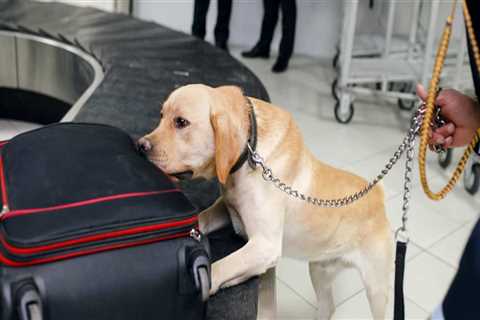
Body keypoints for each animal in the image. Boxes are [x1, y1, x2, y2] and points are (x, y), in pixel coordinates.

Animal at [139, 84, 394, 318]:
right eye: (161, 116)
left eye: (181, 122)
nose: (140, 146)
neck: (250, 151)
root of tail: (379, 195)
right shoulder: (226, 210)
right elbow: (202, 220)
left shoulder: (265, 246)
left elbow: (220, 267)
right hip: (319, 269)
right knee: (328, 306)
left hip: (376, 288)